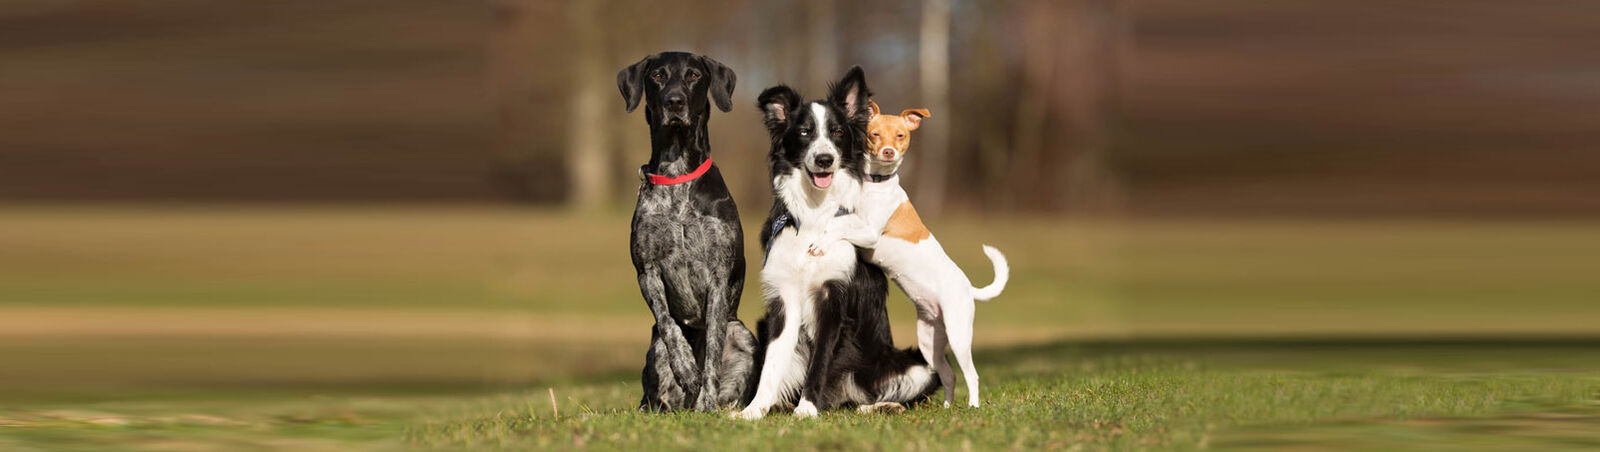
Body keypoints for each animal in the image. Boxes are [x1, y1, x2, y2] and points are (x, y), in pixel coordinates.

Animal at [617, 51, 755, 410]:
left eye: (693, 75)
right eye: (657, 76)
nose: (674, 101)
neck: (678, 175)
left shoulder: (718, 275)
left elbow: (712, 353)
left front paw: (706, 402)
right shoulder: (647, 271)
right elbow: (669, 325)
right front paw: (686, 368)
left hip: (743, 335)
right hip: (653, 355)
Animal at [732, 66, 940, 419]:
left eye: (838, 132)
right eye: (804, 133)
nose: (825, 159)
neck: (814, 213)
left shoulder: (833, 298)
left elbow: (820, 361)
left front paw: (807, 408)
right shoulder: (784, 299)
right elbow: (772, 366)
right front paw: (753, 410)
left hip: (917, 365)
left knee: (876, 397)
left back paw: (881, 405)